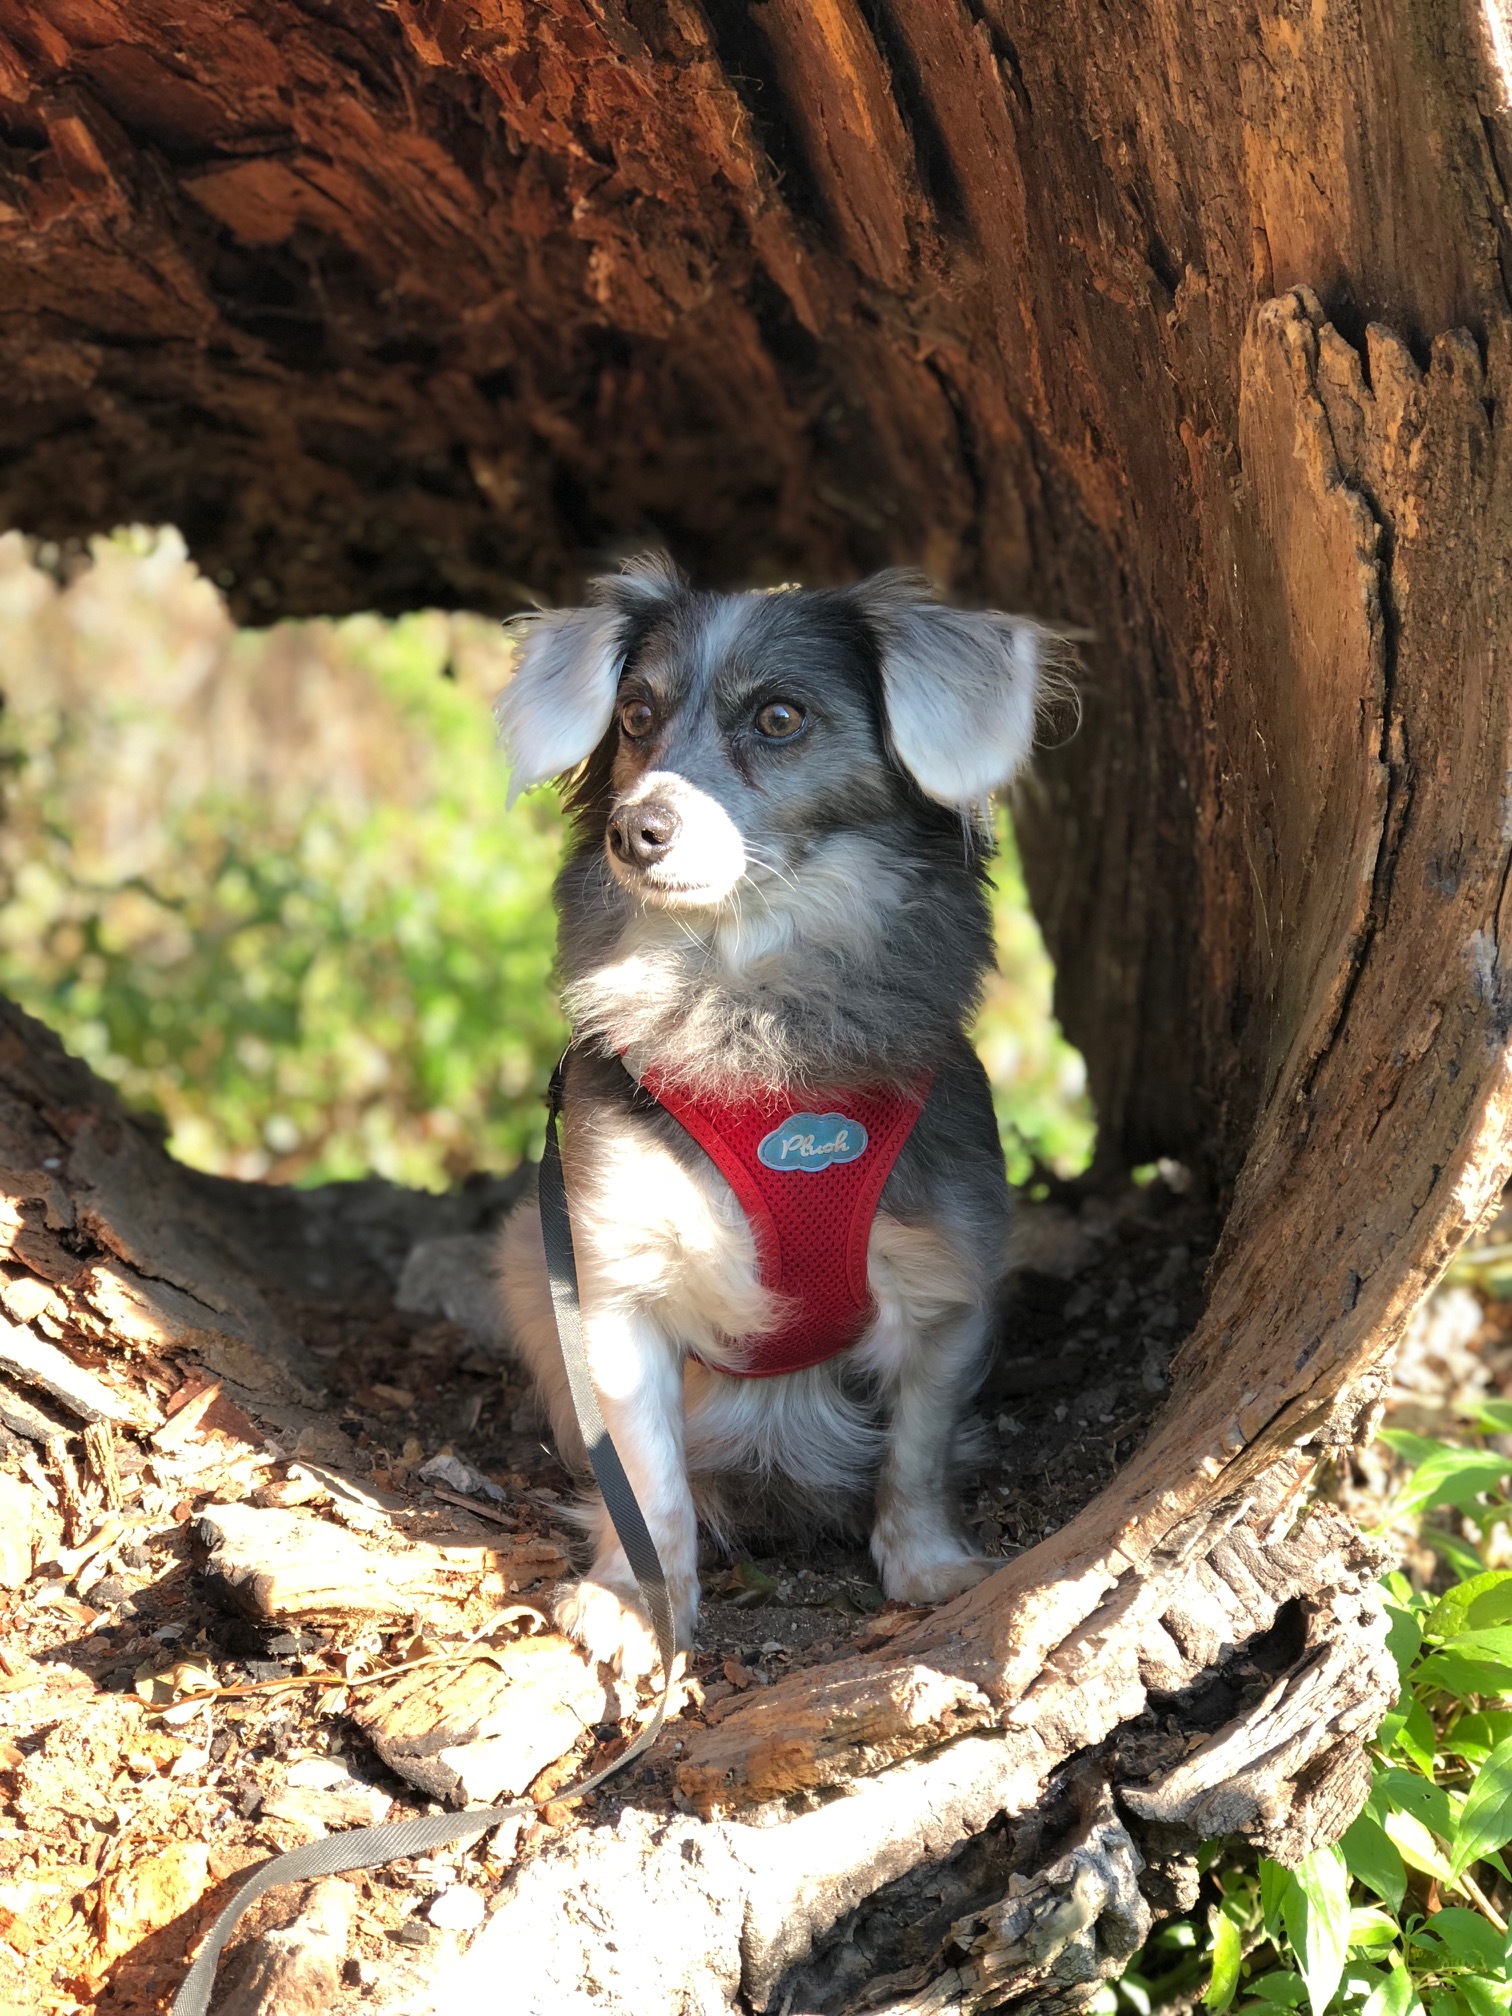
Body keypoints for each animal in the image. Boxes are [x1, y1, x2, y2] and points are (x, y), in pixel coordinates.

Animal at [497, 552, 1056, 1669]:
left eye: (781, 717)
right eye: (634, 714)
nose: (635, 831)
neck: (747, 1003)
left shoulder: (947, 1288)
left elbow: (917, 1452)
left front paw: (925, 1562)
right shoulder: (613, 1288)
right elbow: (648, 1482)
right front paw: (637, 1598)